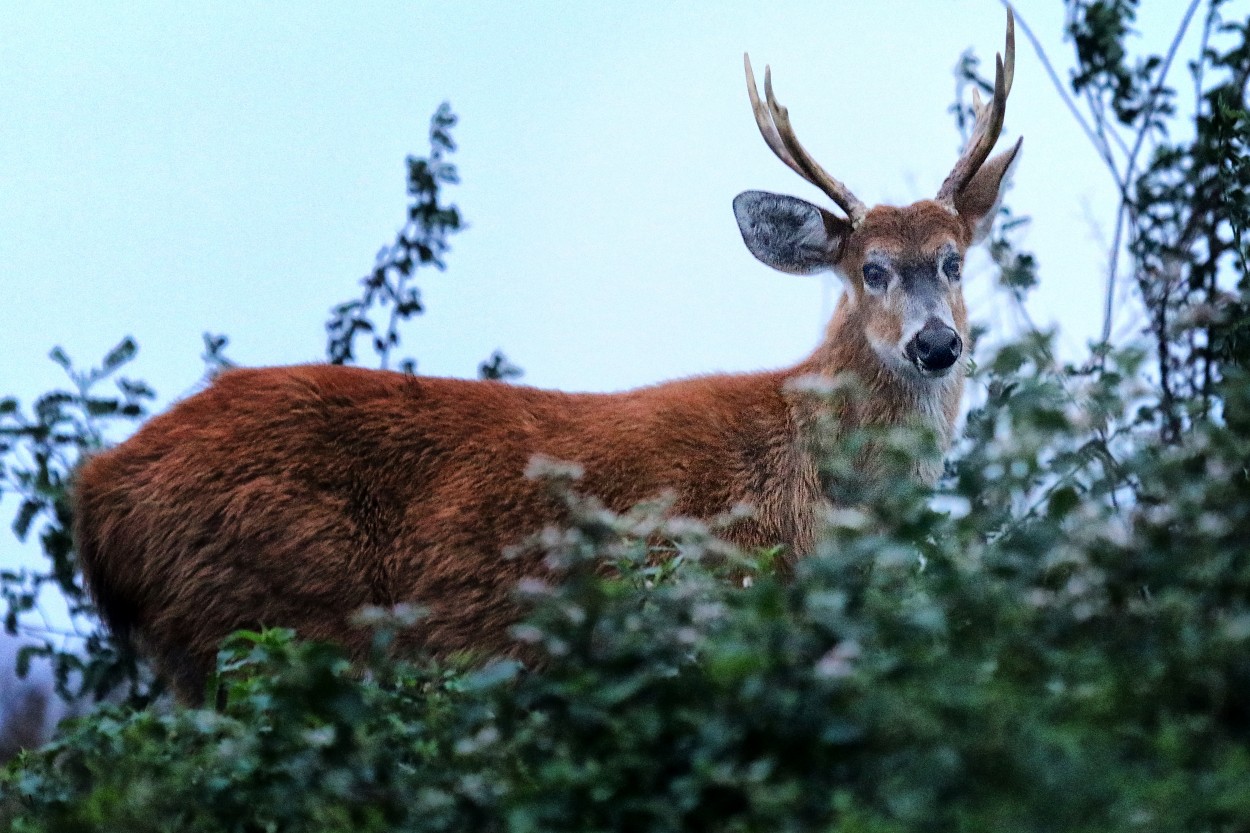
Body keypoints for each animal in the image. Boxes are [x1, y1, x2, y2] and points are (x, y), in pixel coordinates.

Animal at [73, 14, 1020, 700]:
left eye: (954, 260)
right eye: (869, 269)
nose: (937, 343)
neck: (815, 477)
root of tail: (95, 492)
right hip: (258, 622)